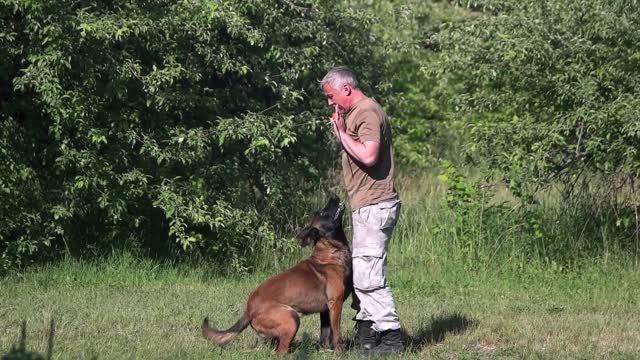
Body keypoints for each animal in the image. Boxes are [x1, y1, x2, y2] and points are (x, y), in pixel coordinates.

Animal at [202, 194, 352, 354]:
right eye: (323, 212)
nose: (333, 196)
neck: (330, 252)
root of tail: (248, 310)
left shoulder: (325, 310)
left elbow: (325, 333)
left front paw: (325, 351)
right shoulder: (335, 304)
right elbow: (336, 333)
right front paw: (339, 352)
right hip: (292, 318)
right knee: (280, 352)